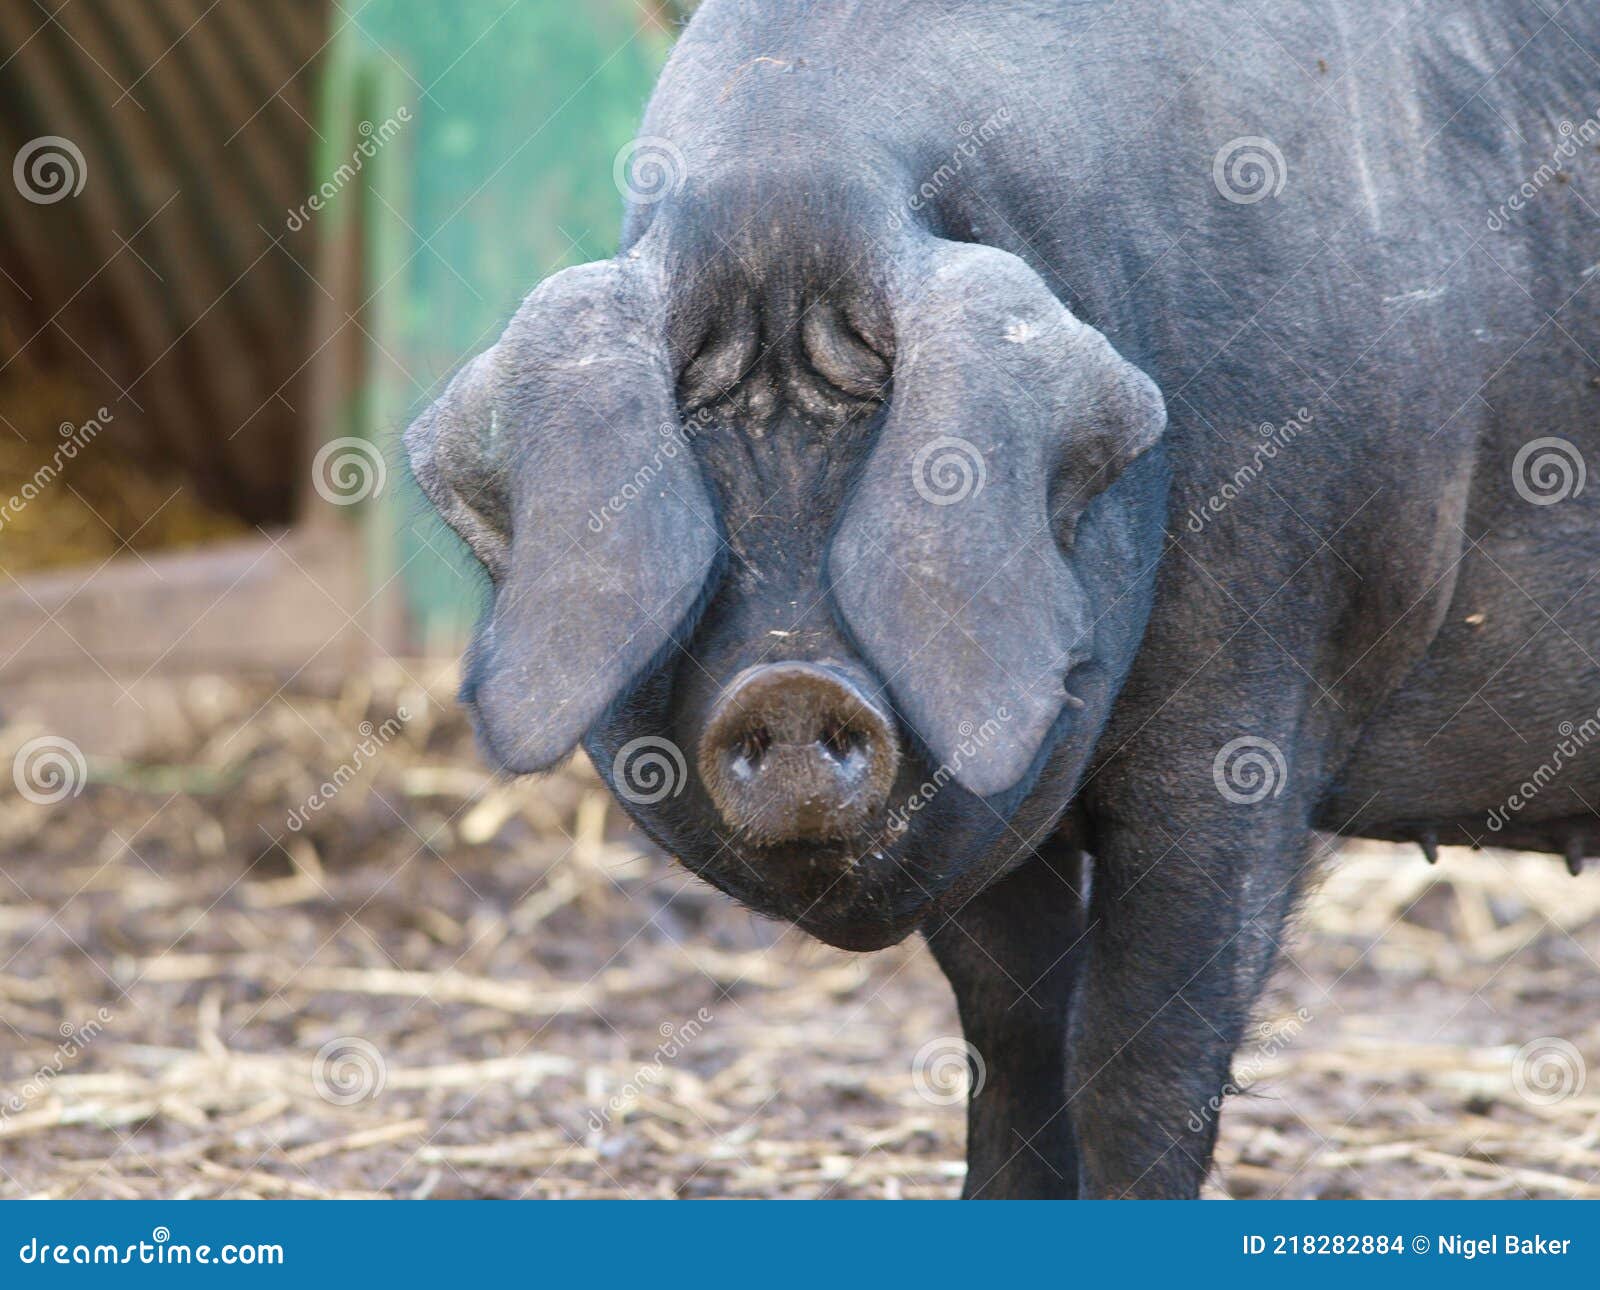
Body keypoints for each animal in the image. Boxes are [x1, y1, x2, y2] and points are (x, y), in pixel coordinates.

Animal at [405, 0, 1600, 1197]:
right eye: (703, 513)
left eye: (900, 482)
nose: (788, 687)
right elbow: (1012, 1027)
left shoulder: (1260, 701)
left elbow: (1142, 1058)